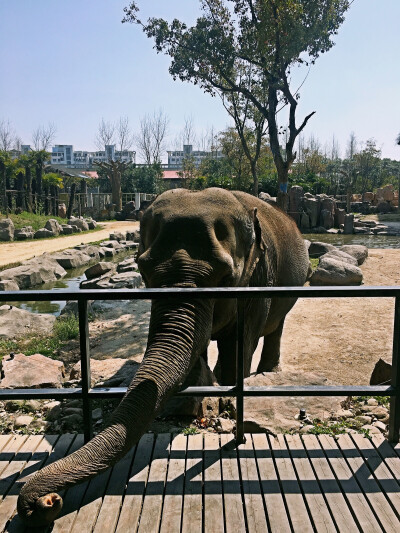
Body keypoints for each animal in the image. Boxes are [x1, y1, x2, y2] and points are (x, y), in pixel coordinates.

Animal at [17, 187, 310, 524]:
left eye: (225, 277)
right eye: (143, 270)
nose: (47, 500)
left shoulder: (258, 281)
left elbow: (239, 343)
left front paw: (225, 394)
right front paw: (199, 391)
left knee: (276, 325)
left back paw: (268, 372)